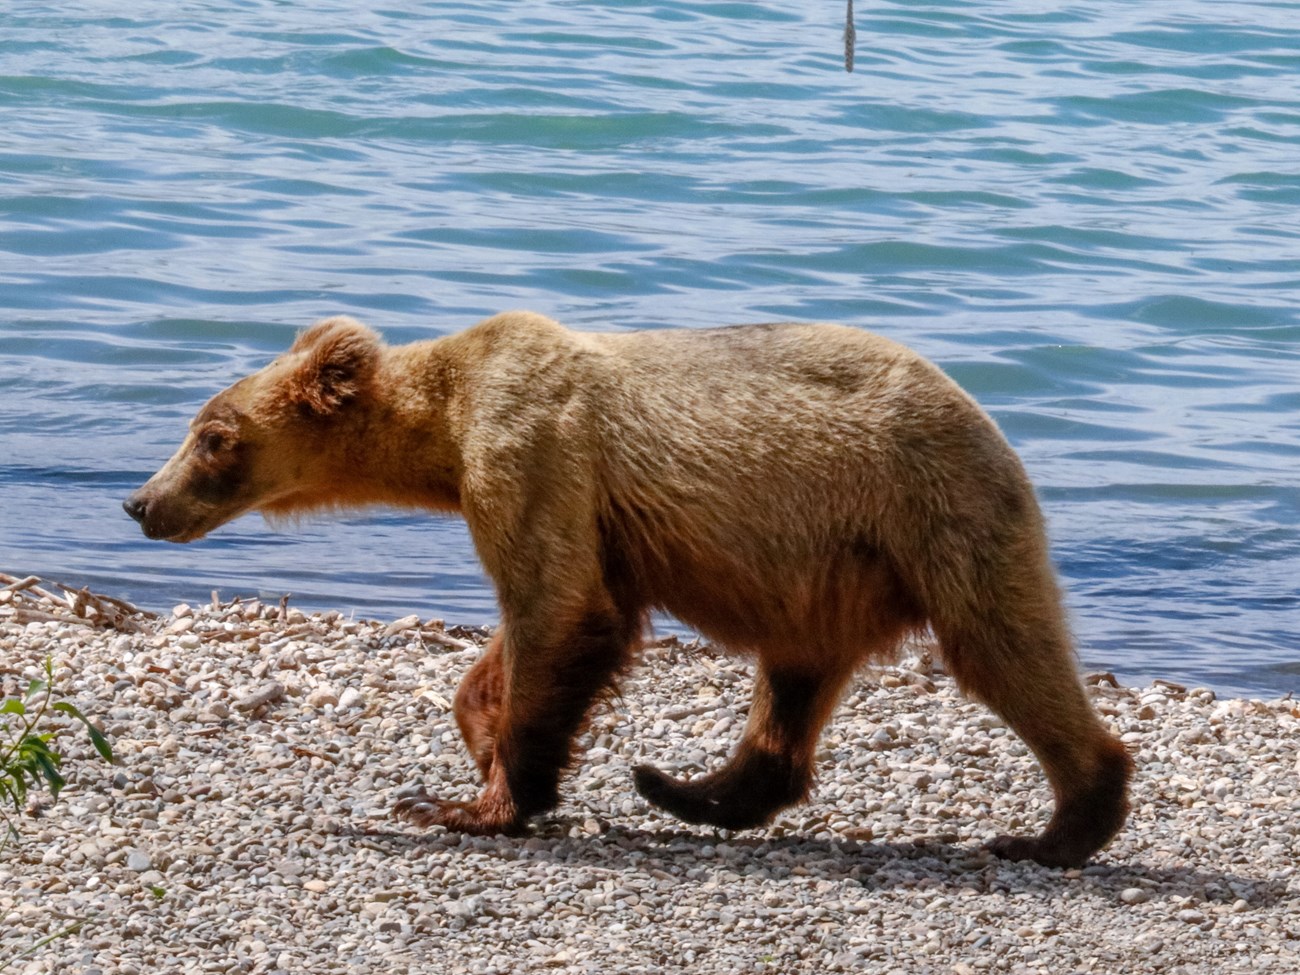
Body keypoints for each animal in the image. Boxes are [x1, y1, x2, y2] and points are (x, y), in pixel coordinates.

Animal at [126, 313, 1133, 868]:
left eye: (212, 436)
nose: (141, 502)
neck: (444, 432)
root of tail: (991, 419)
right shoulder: (574, 508)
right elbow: (540, 626)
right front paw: (479, 737)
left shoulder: (534, 454)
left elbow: (560, 609)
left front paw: (470, 800)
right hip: (823, 566)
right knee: (797, 673)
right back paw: (686, 788)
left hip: (929, 509)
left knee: (1003, 646)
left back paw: (1057, 826)